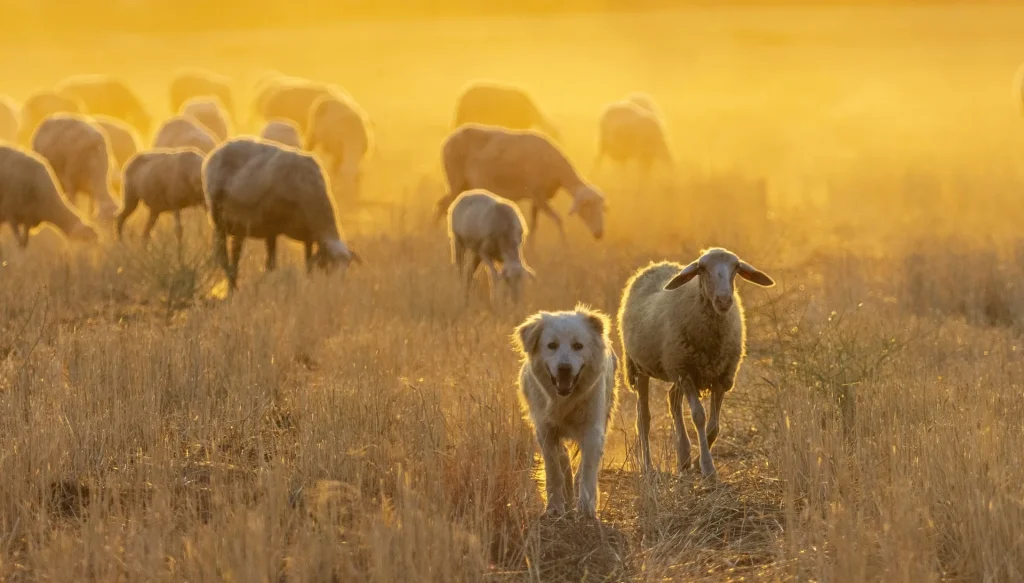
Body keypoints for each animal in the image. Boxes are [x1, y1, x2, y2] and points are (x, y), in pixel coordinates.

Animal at [201, 138, 362, 288]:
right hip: (219, 220)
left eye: (347, 267)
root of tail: (217, 151)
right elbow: (271, 264)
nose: (337, 288)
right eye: (331, 266)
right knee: (222, 256)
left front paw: (308, 281)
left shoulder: (308, 236)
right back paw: (232, 287)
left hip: (238, 225)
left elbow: (308, 263)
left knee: (235, 254)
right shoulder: (271, 227)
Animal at [434, 126, 606, 244]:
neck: (556, 170)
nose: (599, 234)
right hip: (455, 181)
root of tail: (446, 142)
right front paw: (565, 247)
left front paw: (531, 250)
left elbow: (533, 225)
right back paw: (433, 235)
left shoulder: (536, 199)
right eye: (587, 207)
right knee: (443, 205)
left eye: (601, 208)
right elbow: (558, 220)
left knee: (443, 204)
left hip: (464, 185)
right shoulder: (538, 195)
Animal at [512, 305, 614, 518]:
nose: (564, 368)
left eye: (578, 346)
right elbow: (554, 469)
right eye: (552, 345)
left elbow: (587, 468)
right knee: (563, 458)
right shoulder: (545, 429)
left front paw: (587, 507)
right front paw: (555, 506)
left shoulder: (593, 429)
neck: (565, 399)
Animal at [614, 246, 774, 477]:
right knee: (643, 418)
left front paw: (698, 462)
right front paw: (708, 467)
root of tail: (657, 265)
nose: (724, 301)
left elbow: (714, 425)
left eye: (736, 267)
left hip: (675, 368)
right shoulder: (686, 373)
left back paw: (684, 456)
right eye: (702, 268)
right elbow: (699, 416)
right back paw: (648, 465)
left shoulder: (722, 376)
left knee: (672, 398)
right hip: (642, 367)